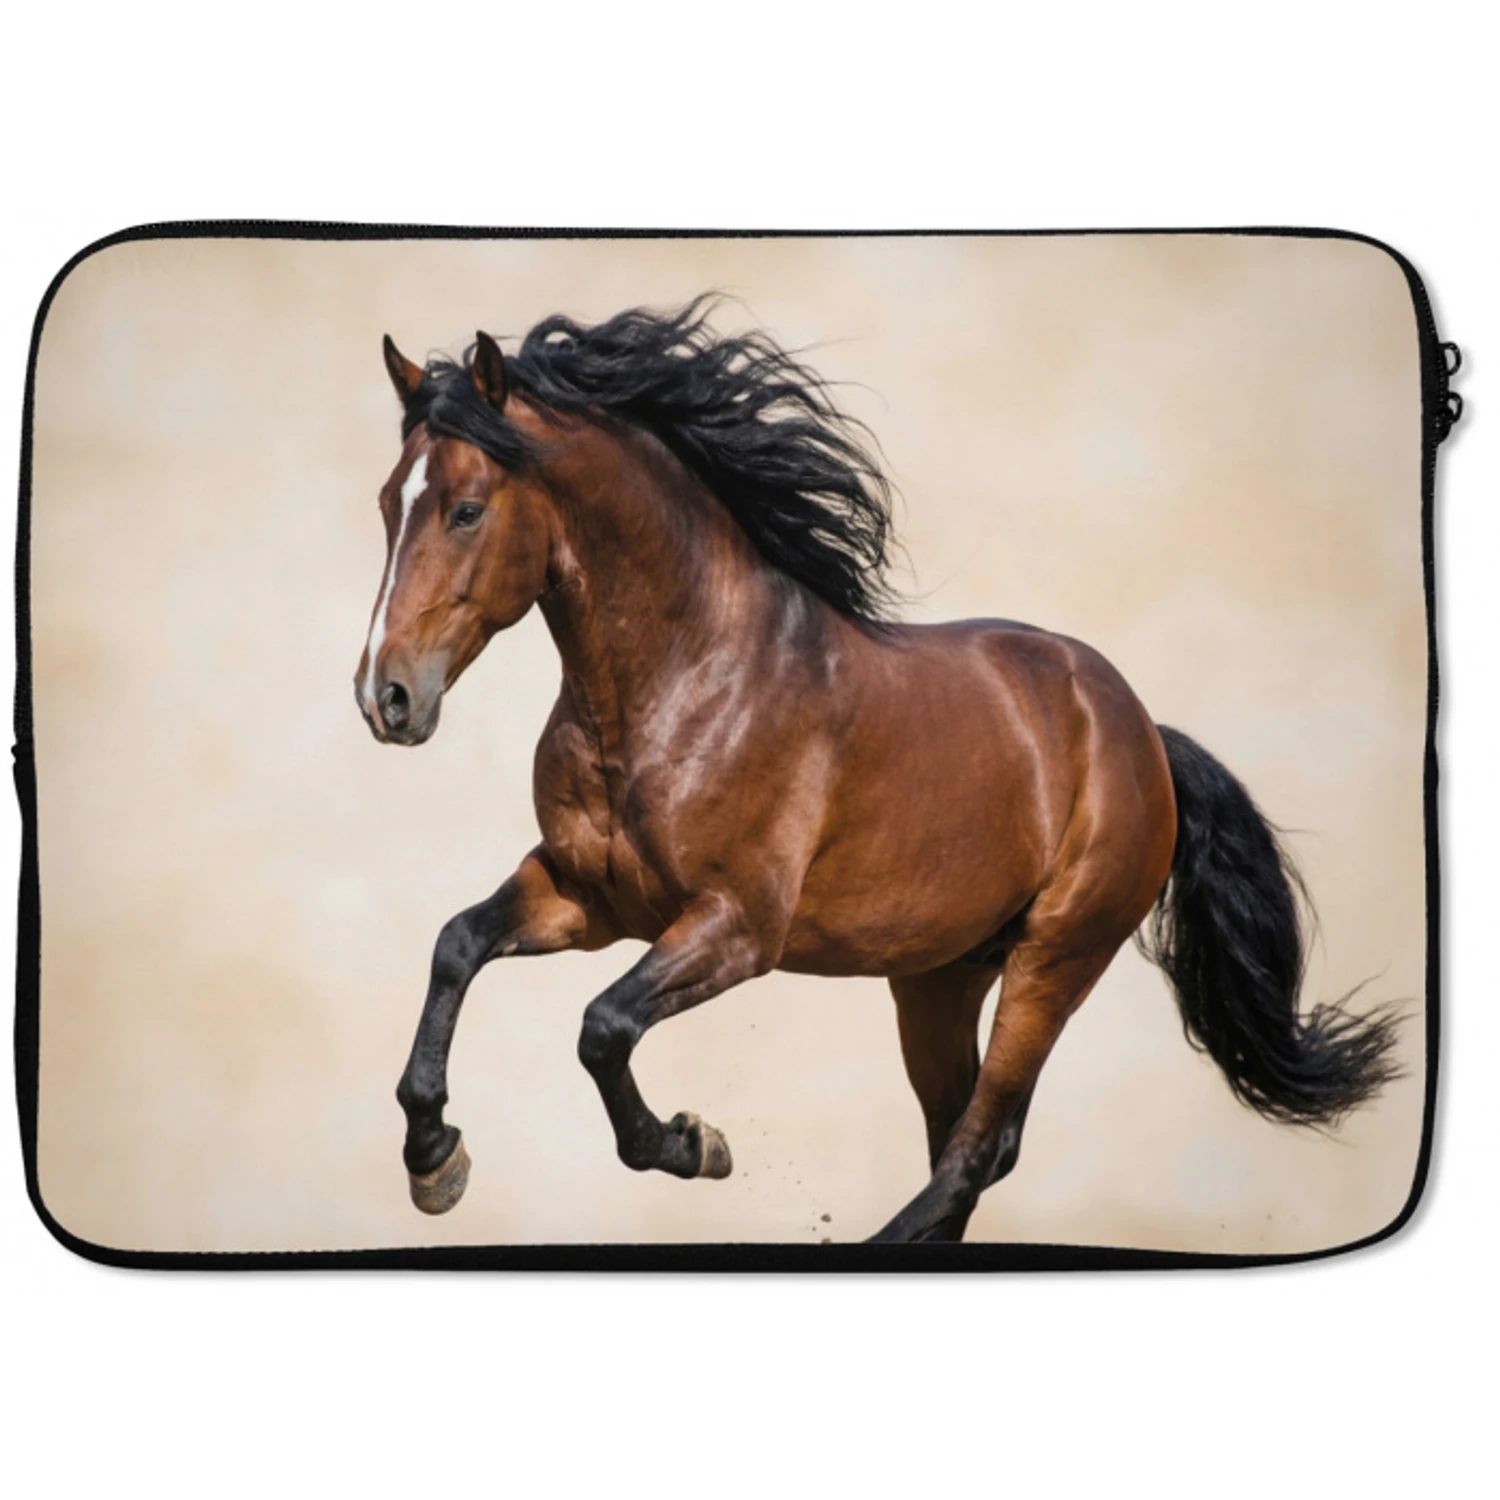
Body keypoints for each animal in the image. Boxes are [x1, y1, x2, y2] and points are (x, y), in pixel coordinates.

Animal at [355, 298, 1400, 1243]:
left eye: (466, 510)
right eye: (385, 503)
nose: (385, 697)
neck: (681, 682)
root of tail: (1141, 731)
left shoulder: (737, 928)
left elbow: (602, 1025)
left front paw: (694, 1144)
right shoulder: (590, 897)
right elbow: (457, 944)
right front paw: (435, 1160)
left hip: (1057, 958)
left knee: (976, 1150)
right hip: (938, 978)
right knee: (965, 1144)